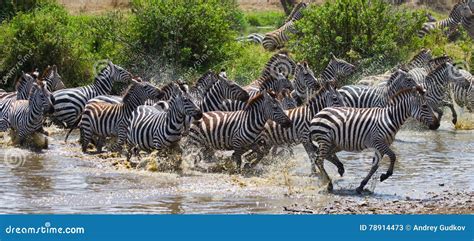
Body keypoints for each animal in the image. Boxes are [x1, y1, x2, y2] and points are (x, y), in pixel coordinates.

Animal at [308, 85, 436, 193]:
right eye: (425, 106)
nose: (437, 125)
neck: (389, 118)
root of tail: (319, 112)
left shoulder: (382, 145)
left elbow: (375, 166)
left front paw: (361, 186)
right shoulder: (378, 142)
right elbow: (393, 156)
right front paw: (386, 175)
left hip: (335, 143)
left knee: (323, 156)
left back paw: (337, 170)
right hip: (325, 140)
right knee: (319, 160)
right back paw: (329, 184)